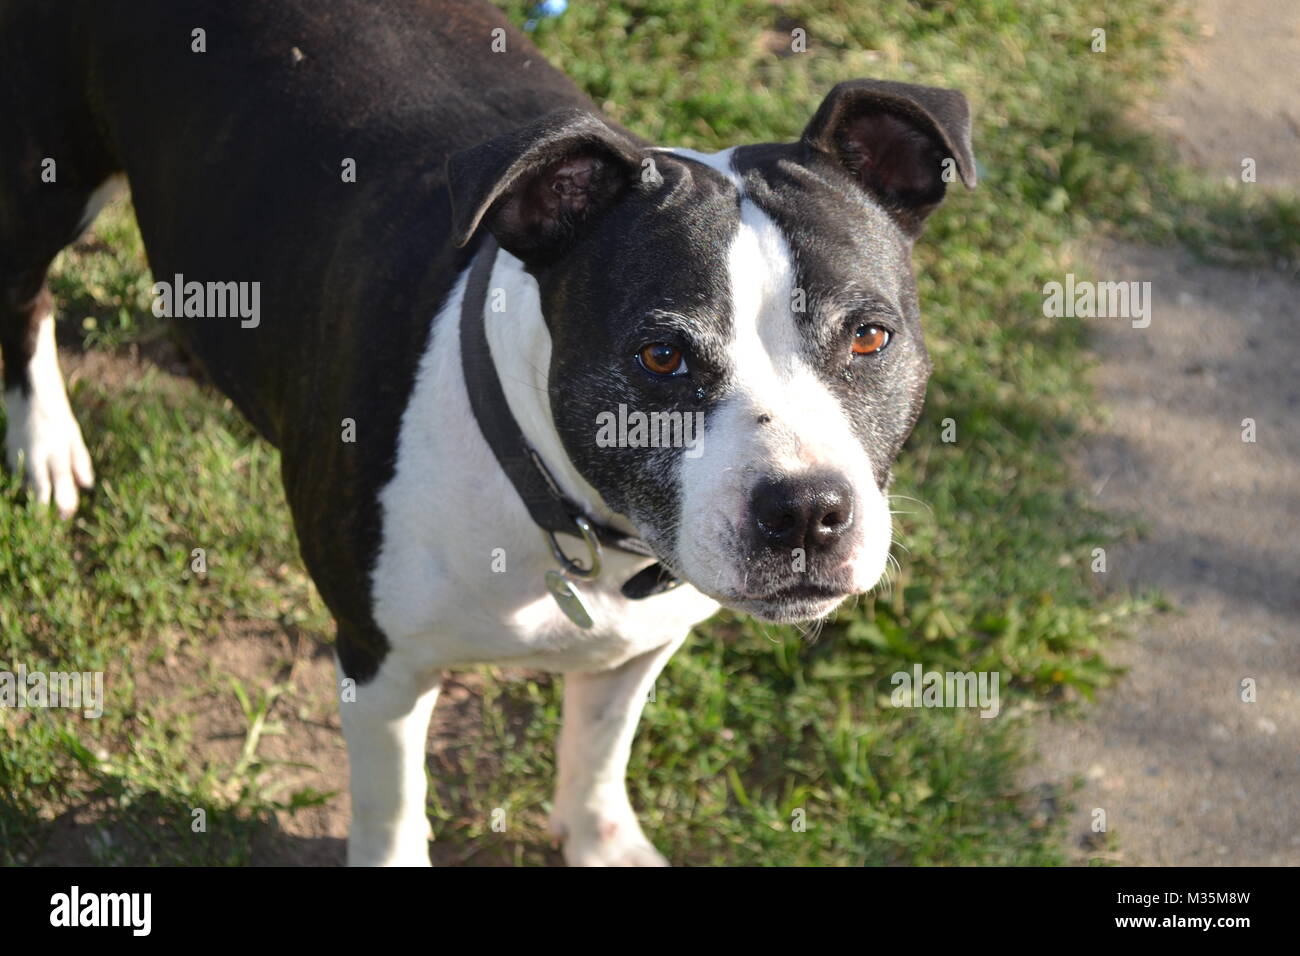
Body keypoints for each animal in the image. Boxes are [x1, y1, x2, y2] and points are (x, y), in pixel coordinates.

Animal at [2, 0, 977, 868]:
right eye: (661, 355)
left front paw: (599, 843)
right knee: (26, 297)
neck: (564, 503)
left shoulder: (636, 647)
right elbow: (392, 809)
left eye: (870, 337)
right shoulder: (381, 668)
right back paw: (44, 441)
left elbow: (598, 754)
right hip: (45, 183)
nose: (807, 510)